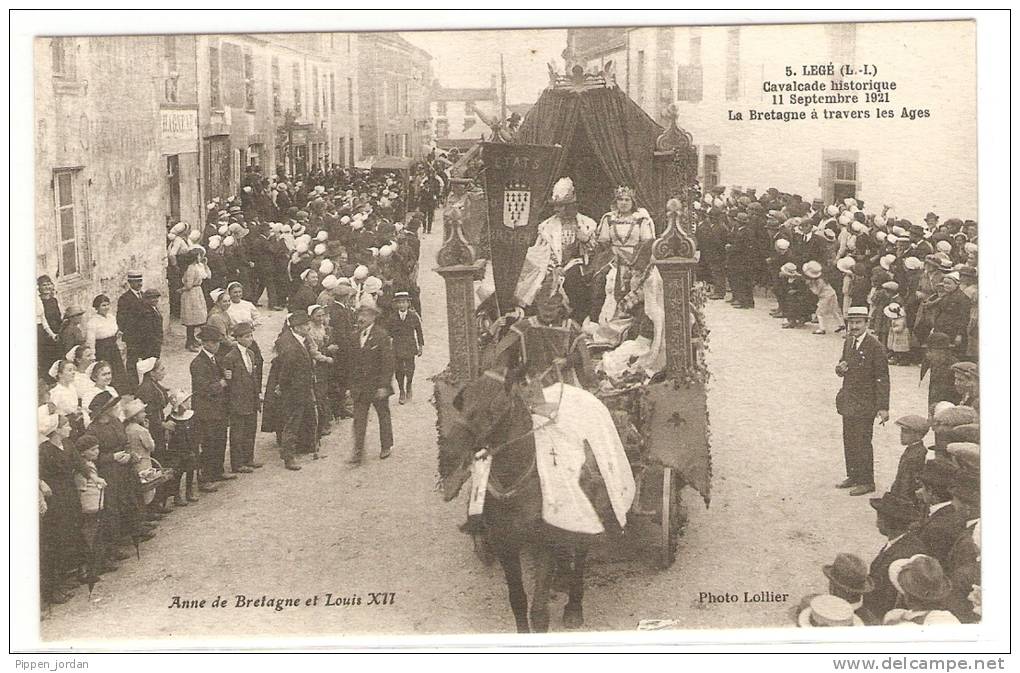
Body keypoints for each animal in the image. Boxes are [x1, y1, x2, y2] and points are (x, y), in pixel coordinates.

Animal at [432, 367, 620, 632]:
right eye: (462, 401)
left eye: (498, 407)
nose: (450, 453)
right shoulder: (504, 543)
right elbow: (518, 600)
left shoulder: (543, 542)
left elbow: (539, 611)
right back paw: (561, 577)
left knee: (581, 552)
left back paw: (574, 605)